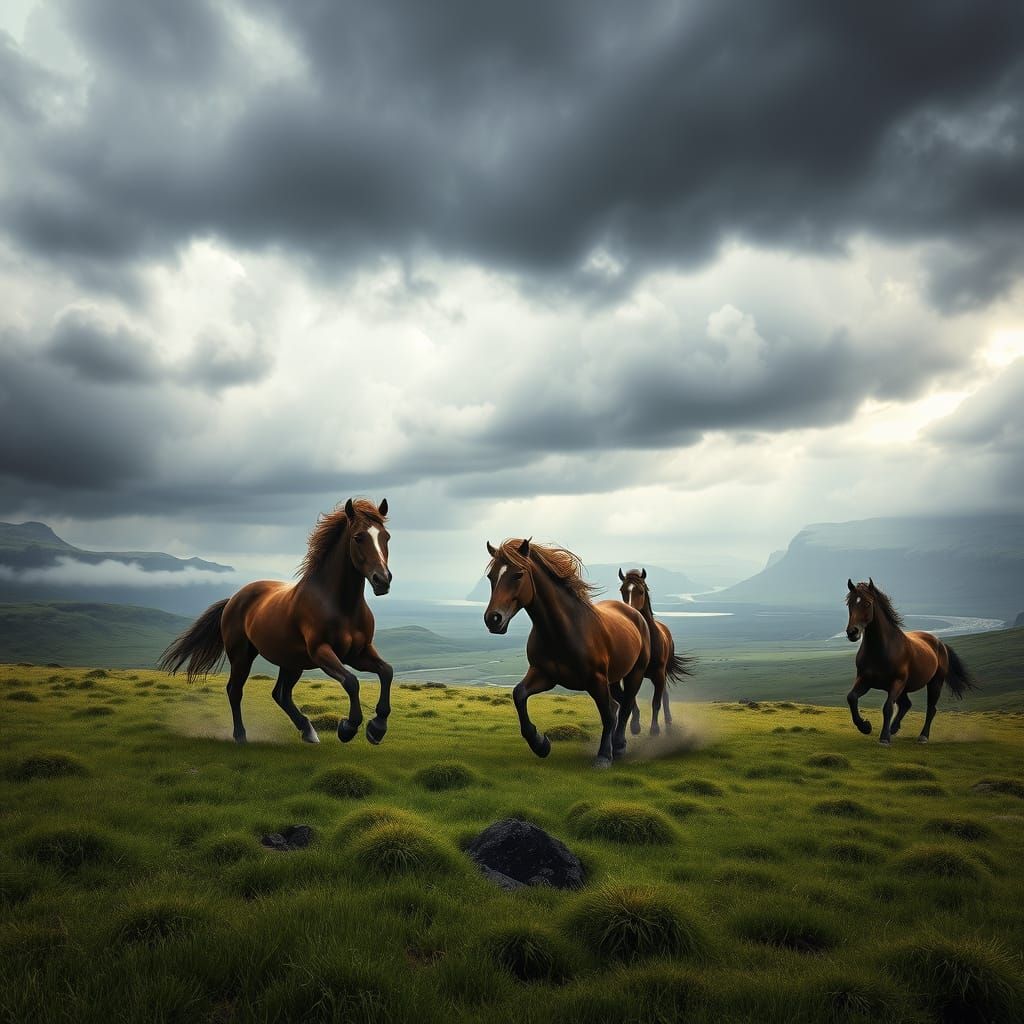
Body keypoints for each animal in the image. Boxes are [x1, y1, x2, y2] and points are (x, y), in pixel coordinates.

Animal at [159, 498, 394, 746]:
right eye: (358, 537)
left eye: (386, 536)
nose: (382, 580)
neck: (341, 606)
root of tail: (234, 598)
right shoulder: (321, 652)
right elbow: (351, 681)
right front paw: (348, 728)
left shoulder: (358, 653)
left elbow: (386, 671)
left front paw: (377, 728)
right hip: (243, 656)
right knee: (235, 690)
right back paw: (241, 736)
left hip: (291, 661)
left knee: (281, 694)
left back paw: (308, 731)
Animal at [483, 538, 650, 768]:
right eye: (491, 576)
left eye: (518, 574)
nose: (493, 619)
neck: (564, 630)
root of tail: (634, 613)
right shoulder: (544, 675)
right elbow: (519, 694)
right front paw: (540, 744)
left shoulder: (597, 680)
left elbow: (607, 714)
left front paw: (603, 757)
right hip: (615, 678)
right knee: (621, 704)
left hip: (635, 673)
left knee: (623, 706)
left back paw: (618, 746)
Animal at [618, 568, 694, 736]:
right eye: (622, 590)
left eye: (640, 591)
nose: (629, 613)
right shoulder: (630, 674)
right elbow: (631, 699)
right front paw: (635, 725)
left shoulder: (659, 674)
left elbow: (656, 702)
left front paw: (654, 729)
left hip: (662, 674)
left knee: (664, 695)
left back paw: (668, 720)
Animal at [844, 578, 978, 745]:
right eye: (850, 604)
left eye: (867, 603)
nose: (852, 632)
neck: (882, 649)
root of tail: (940, 643)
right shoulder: (865, 680)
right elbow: (851, 698)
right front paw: (865, 727)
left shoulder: (897, 682)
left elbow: (887, 707)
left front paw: (884, 738)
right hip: (905, 688)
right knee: (906, 704)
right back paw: (894, 728)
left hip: (934, 683)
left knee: (930, 709)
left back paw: (923, 736)